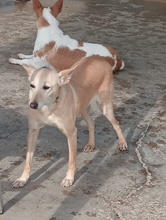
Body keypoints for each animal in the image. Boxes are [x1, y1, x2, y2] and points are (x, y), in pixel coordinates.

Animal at [12, 57, 127, 188]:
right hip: (83, 110)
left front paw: (69, 179)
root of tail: (100, 59)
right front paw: (23, 178)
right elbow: (28, 160)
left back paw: (123, 143)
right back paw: (91, 144)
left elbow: (72, 161)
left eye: (46, 87)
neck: (49, 108)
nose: (32, 105)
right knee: (92, 123)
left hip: (105, 107)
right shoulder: (33, 131)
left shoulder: (71, 133)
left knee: (116, 124)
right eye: (32, 85)